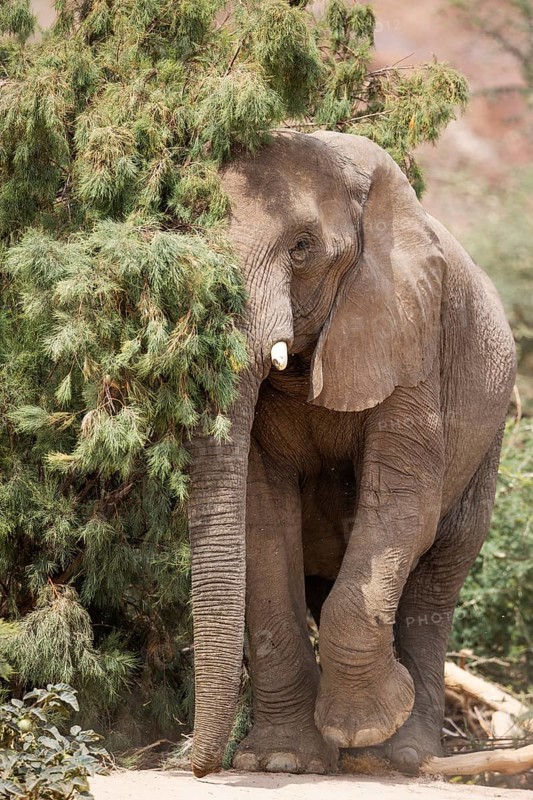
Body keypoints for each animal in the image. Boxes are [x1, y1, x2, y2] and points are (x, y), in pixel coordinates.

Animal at [187, 130, 516, 778]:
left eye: (302, 248)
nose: (193, 763)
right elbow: (264, 521)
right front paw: (283, 762)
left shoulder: (412, 337)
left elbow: (401, 507)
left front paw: (366, 724)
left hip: (485, 446)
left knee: (436, 580)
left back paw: (399, 756)